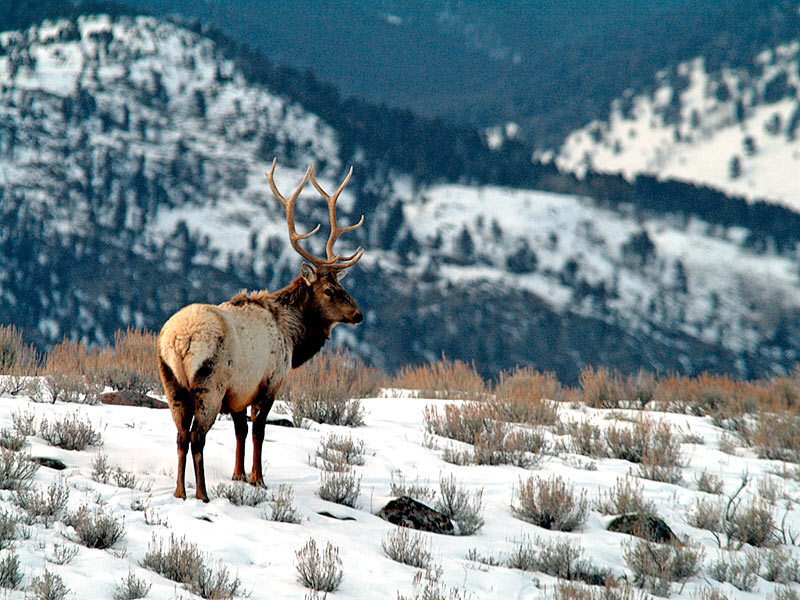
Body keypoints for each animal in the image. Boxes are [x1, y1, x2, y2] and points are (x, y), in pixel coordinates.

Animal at [157, 159, 365, 502]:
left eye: (342, 285)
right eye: (329, 290)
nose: (358, 314)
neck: (292, 336)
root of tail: (180, 341)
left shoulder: (239, 391)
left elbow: (240, 431)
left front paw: (238, 474)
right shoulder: (269, 381)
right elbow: (258, 431)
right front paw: (258, 479)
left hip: (172, 383)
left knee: (179, 435)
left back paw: (179, 492)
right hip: (209, 384)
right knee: (197, 435)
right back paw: (202, 493)